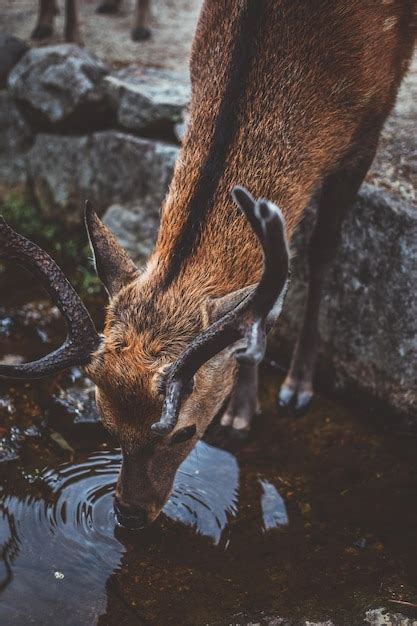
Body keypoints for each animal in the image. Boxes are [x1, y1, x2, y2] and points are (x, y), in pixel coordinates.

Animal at [0, 0, 416, 528]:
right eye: (108, 426)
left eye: (184, 431)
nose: (129, 514)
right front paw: (243, 409)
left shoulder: (374, 115)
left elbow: (321, 252)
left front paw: (296, 386)